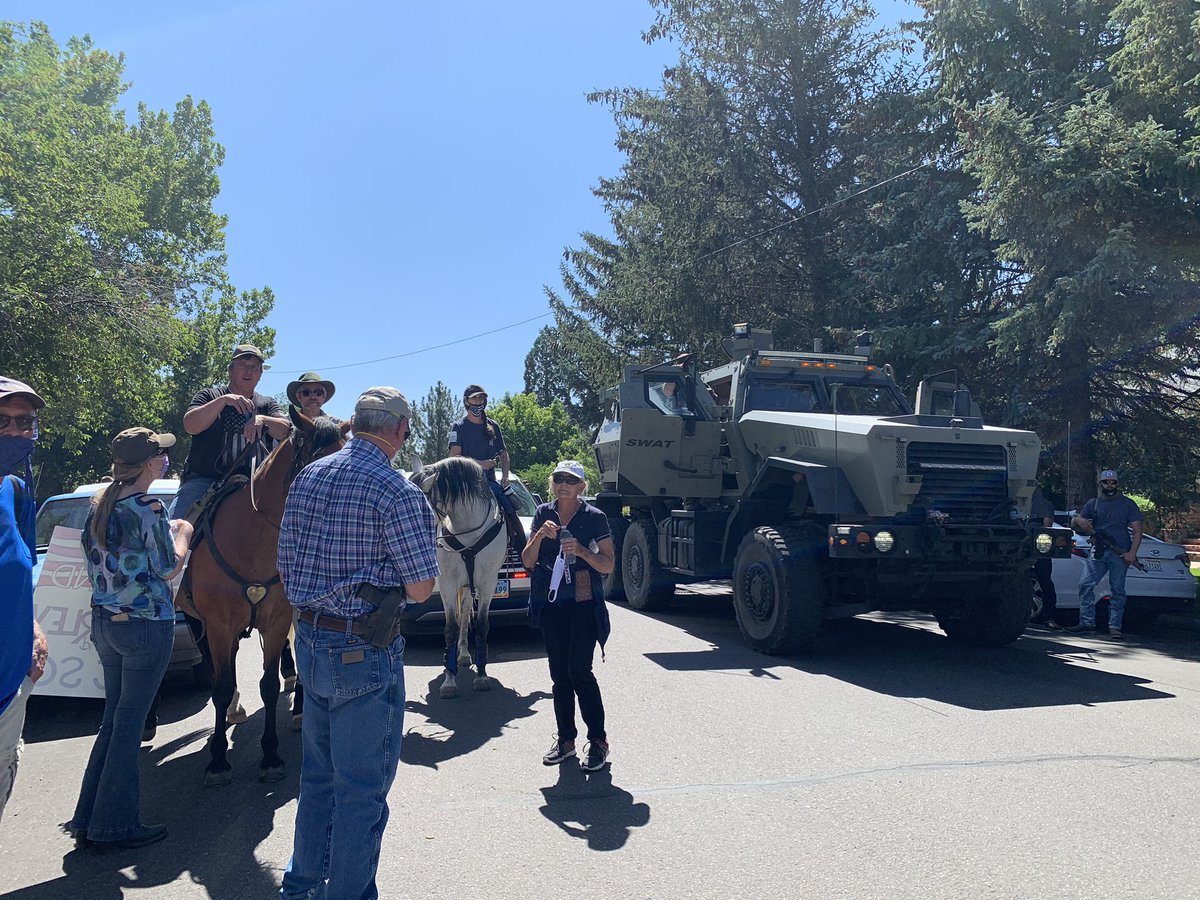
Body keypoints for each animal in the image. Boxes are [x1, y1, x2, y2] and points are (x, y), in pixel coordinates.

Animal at [181, 408, 348, 787]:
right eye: (323, 466)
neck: (251, 542)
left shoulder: (276, 622)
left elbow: (269, 685)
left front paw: (271, 756)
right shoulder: (218, 625)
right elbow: (221, 686)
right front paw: (217, 762)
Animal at [412, 458, 506, 696]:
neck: (468, 529)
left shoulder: (488, 582)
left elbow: (481, 625)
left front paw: (482, 676)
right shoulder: (447, 582)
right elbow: (450, 628)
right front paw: (449, 680)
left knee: (465, 612)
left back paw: (463, 655)